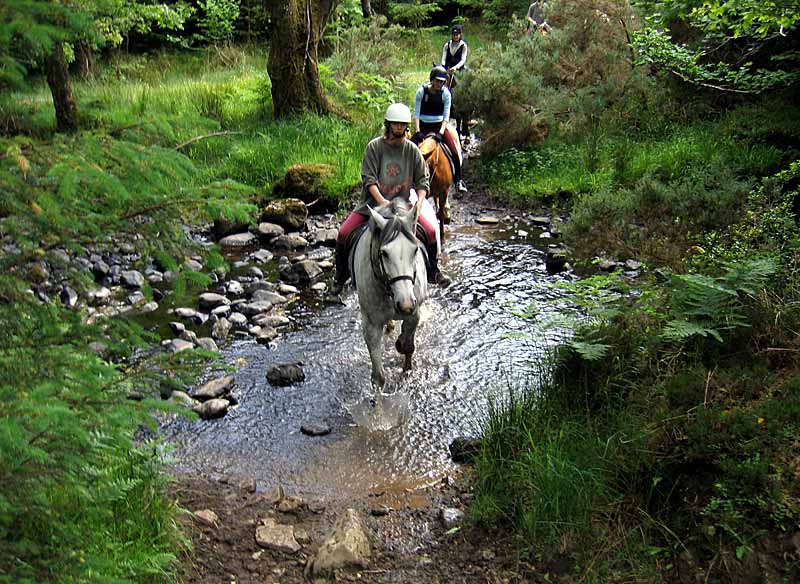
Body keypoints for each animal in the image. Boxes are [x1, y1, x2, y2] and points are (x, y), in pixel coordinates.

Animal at [354, 200, 432, 388]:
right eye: (384, 253)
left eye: (415, 250)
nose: (406, 305)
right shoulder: (371, 325)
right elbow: (378, 376)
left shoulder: (414, 315)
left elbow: (407, 346)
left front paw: (406, 370)